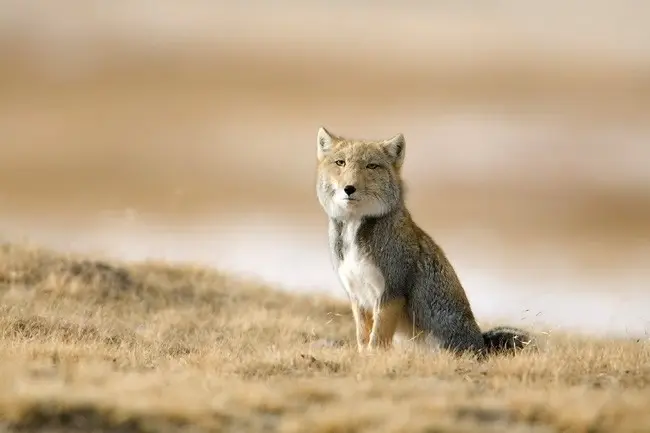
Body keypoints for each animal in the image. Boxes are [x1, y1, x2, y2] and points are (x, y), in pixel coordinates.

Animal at [314, 126, 532, 356]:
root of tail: (481, 344)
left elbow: (377, 339)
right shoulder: (358, 296)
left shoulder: (391, 291)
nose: (349, 188)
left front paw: (372, 357)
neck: (354, 231)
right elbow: (363, 339)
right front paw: (364, 356)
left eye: (371, 166)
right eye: (341, 163)